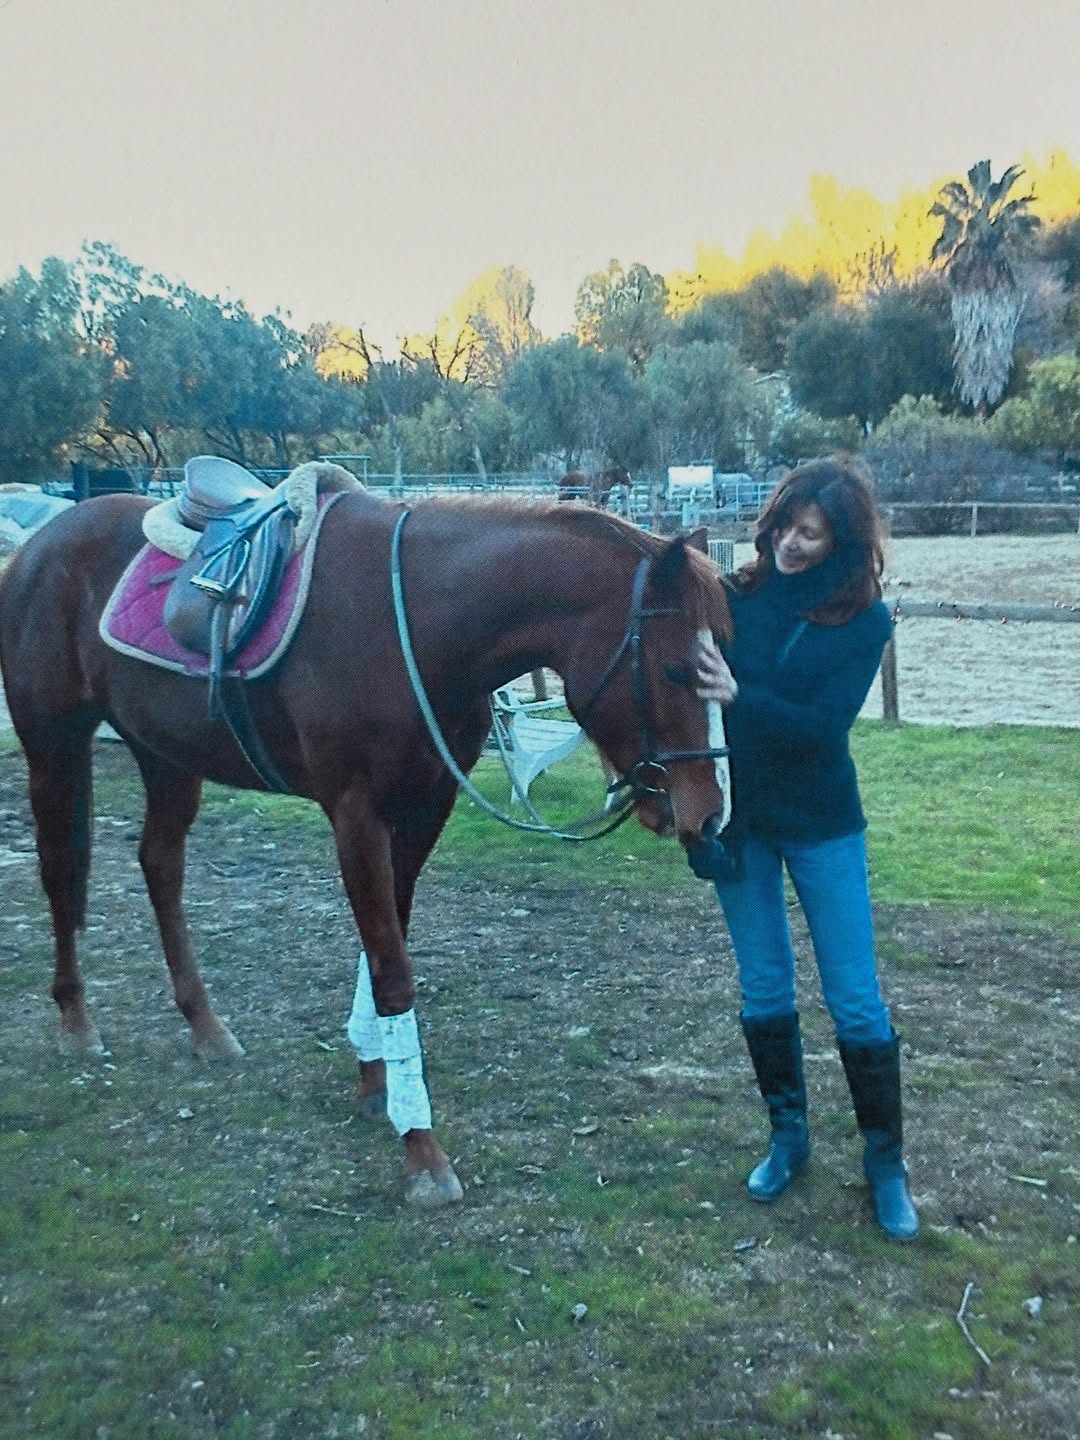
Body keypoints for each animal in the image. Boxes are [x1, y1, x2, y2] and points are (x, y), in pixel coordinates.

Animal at [0, 484, 732, 1208]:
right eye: (675, 670)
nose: (709, 814)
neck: (417, 623)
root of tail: (41, 545)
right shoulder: (356, 812)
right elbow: (392, 970)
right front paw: (422, 1151)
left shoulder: (424, 807)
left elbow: (387, 943)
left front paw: (378, 1083)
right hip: (54, 744)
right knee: (61, 868)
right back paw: (76, 1022)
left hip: (167, 754)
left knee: (160, 865)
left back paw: (205, 1026)